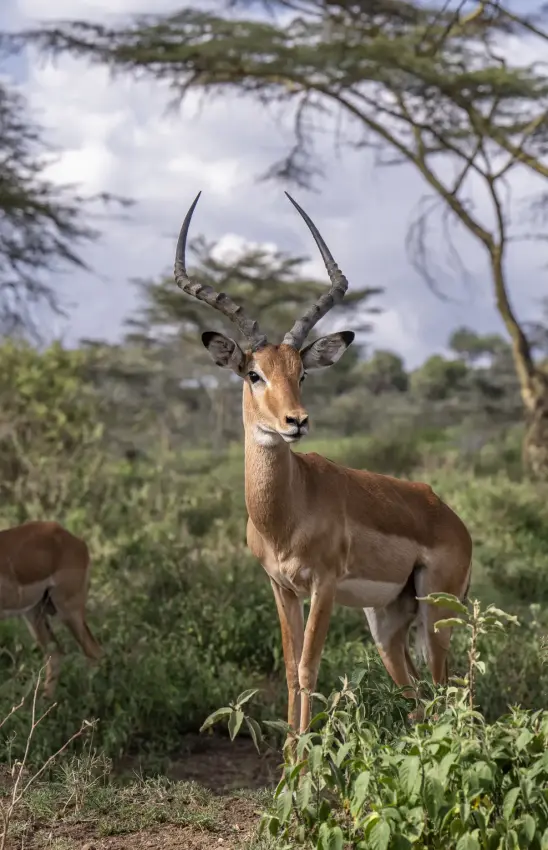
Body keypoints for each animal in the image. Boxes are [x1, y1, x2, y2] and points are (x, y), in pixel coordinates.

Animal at [174, 192, 472, 736]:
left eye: (302, 373)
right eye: (253, 373)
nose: (296, 421)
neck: (285, 512)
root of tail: (450, 517)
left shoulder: (325, 585)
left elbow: (310, 668)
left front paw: (304, 758)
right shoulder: (281, 587)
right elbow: (291, 669)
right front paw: (288, 758)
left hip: (435, 615)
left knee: (449, 688)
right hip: (386, 623)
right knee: (419, 693)